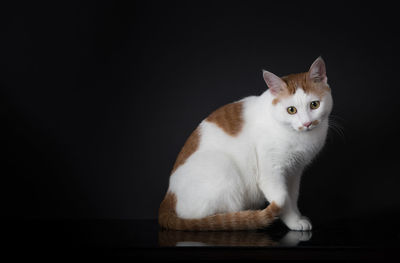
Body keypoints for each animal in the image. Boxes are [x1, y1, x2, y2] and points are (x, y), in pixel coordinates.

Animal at [158, 57, 332, 231]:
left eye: (314, 105)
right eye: (291, 110)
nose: (307, 123)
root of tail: (168, 197)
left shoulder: (294, 173)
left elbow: (293, 197)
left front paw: (297, 217)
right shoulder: (271, 172)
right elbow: (284, 200)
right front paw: (293, 221)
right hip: (223, 168)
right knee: (206, 217)